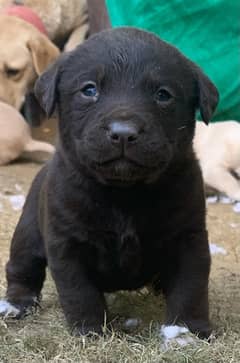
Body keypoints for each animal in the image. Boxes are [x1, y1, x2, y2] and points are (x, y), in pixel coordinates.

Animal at [0, 27, 218, 338]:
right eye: (89, 90)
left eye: (163, 95)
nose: (123, 133)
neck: (123, 193)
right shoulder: (67, 243)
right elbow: (79, 291)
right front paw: (90, 329)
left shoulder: (189, 237)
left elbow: (191, 287)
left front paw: (187, 330)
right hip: (27, 233)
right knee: (22, 268)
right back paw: (17, 303)